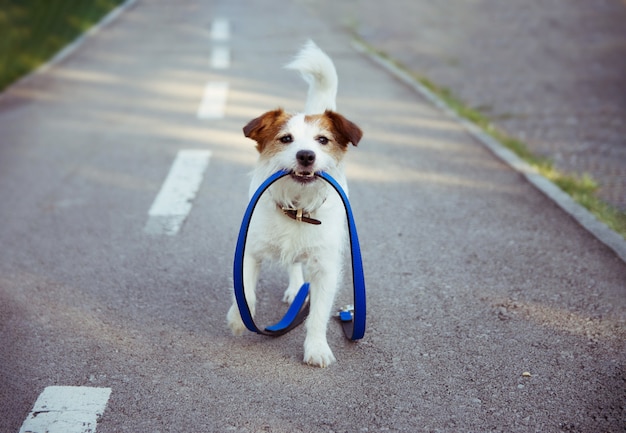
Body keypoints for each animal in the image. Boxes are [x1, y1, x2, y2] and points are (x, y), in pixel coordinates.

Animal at [225, 40, 360, 366]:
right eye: (286, 139)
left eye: (322, 140)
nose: (306, 155)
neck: (297, 208)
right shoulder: (248, 251)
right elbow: (245, 290)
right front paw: (238, 318)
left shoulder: (325, 268)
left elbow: (319, 315)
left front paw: (316, 348)